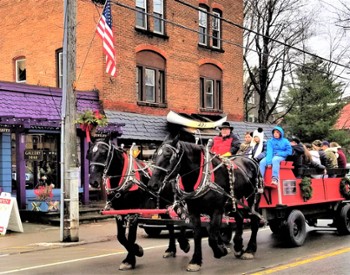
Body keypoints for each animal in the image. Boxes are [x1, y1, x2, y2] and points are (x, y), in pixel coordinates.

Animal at [87, 137, 190, 270]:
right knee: (170, 224)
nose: (93, 181)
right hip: (163, 206)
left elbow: (131, 237)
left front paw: (131, 259)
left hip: (175, 202)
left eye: (104, 153)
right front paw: (137, 250)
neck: (126, 179)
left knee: (183, 219)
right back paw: (171, 249)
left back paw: (184, 243)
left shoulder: (134, 211)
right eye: (89, 154)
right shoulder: (119, 212)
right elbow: (121, 237)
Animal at [149, 139, 264, 272]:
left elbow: (212, 236)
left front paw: (220, 250)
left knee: (254, 221)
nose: (152, 184)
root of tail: (250, 160)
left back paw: (249, 250)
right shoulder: (193, 210)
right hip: (232, 201)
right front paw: (195, 260)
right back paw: (238, 246)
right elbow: (197, 234)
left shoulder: (216, 210)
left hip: (253, 197)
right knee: (240, 218)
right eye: (154, 156)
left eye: (168, 155)